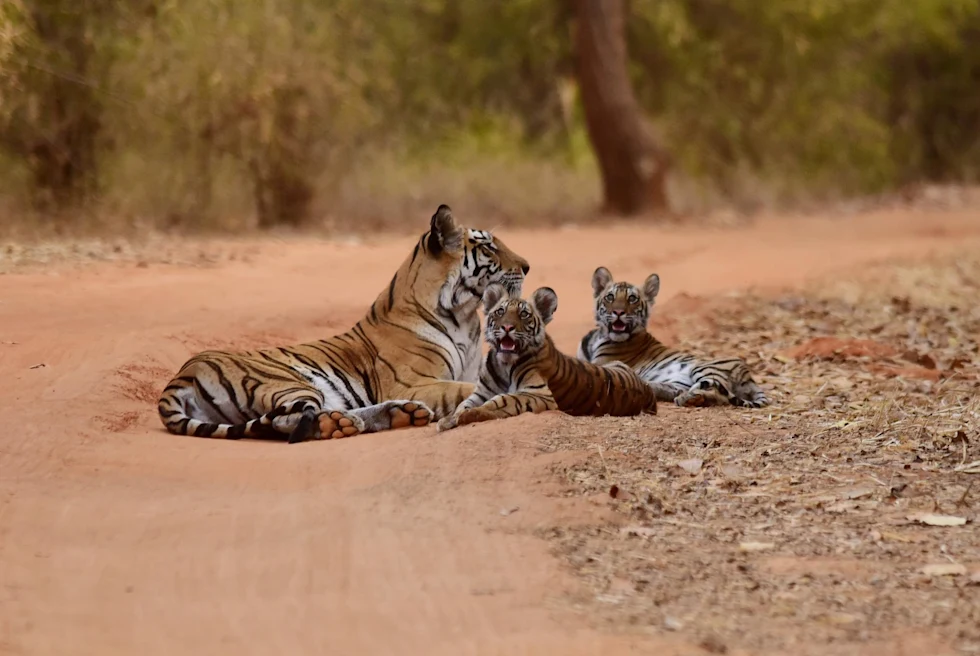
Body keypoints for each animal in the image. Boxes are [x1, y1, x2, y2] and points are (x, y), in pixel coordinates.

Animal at [157, 205, 530, 443]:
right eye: (488, 247)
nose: (527, 266)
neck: (465, 315)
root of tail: (181, 375)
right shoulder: (413, 382)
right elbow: (464, 390)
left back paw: (401, 415)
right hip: (287, 382)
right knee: (286, 421)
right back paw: (345, 423)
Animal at [437, 283, 657, 431]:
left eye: (524, 314)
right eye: (500, 311)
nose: (507, 327)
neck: (504, 364)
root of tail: (647, 390)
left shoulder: (539, 393)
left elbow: (503, 399)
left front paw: (470, 415)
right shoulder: (481, 392)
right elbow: (464, 404)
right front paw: (449, 419)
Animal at [577, 266, 770, 408]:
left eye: (632, 299)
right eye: (610, 297)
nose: (618, 312)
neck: (598, 336)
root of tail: (748, 376)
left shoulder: (602, 364)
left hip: (705, 369)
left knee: (716, 393)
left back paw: (688, 398)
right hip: (678, 382)